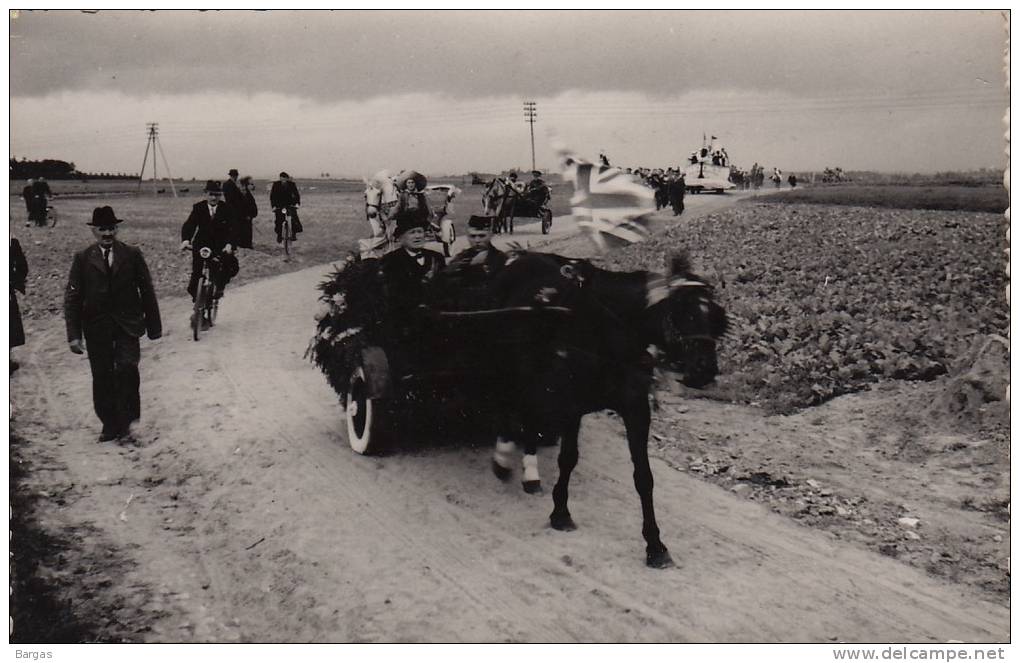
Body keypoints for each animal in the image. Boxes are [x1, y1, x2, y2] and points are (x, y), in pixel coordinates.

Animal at [483, 250, 726, 567]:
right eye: (684, 312)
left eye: (714, 314)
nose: (705, 370)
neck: (607, 332)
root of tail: (519, 256)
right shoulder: (572, 404)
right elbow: (568, 458)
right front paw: (561, 512)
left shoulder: (636, 407)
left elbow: (643, 477)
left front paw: (655, 544)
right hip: (506, 358)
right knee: (509, 398)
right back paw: (504, 454)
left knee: (529, 409)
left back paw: (529, 470)